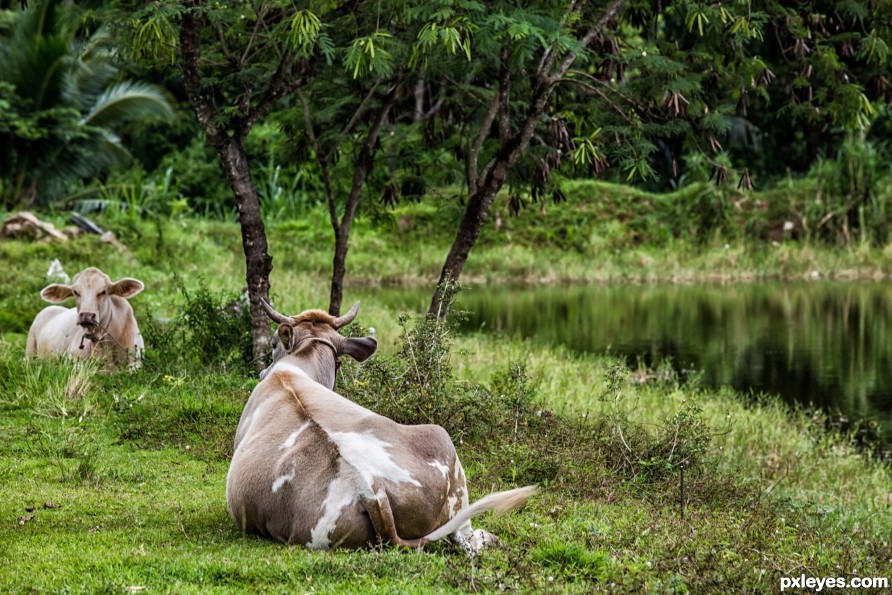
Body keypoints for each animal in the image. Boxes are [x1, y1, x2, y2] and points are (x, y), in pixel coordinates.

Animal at [226, 302, 536, 556]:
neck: (295, 369)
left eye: (274, 345)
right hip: (442, 443)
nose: (262, 372)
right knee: (467, 541)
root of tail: (372, 490)